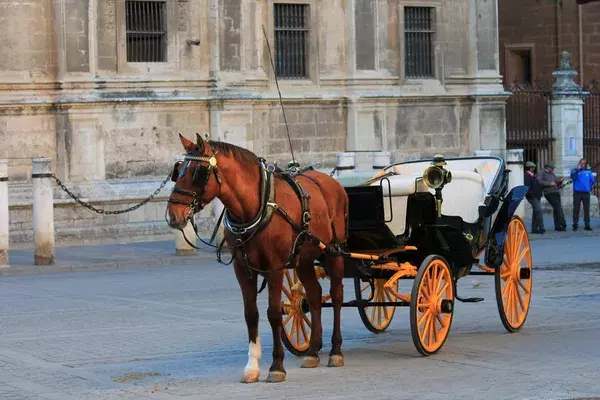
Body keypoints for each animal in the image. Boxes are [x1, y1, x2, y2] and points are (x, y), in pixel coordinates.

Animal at [166, 133, 350, 382]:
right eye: (179, 171)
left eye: (197, 173)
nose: (173, 216)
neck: (256, 207)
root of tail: (330, 181)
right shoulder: (242, 269)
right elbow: (250, 314)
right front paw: (252, 367)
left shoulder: (275, 268)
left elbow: (274, 313)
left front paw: (277, 366)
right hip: (304, 260)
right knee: (314, 296)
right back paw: (312, 352)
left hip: (334, 253)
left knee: (338, 296)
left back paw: (336, 351)